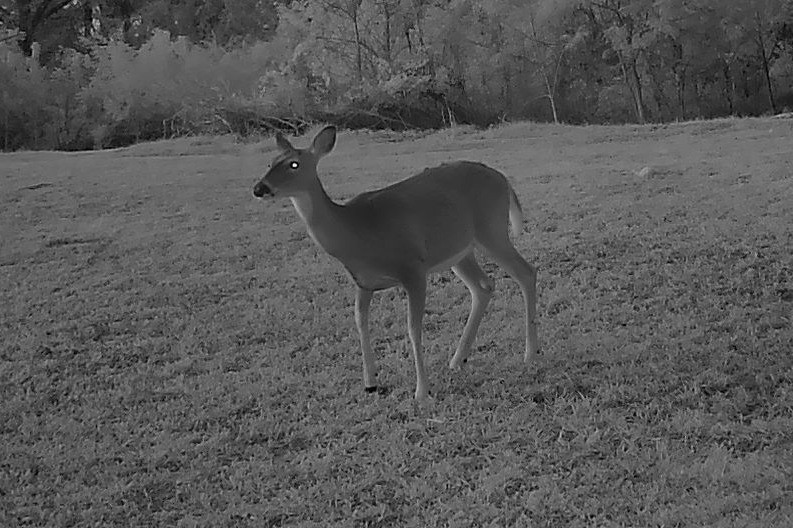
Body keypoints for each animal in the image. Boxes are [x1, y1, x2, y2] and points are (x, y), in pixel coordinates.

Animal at [253, 126, 540, 400]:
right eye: (271, 162)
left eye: (294, 164)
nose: (259, 189)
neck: (357, 232)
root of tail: (503, 179)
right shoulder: (363, 282)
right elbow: (360, 321)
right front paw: (370, 383)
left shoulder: (413, 269)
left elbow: (413, 328)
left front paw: (421, 392)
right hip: (458, 251)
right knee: (484, 286)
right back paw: (458, 359)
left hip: (491, 230)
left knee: (526, 272)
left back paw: (530, 353)